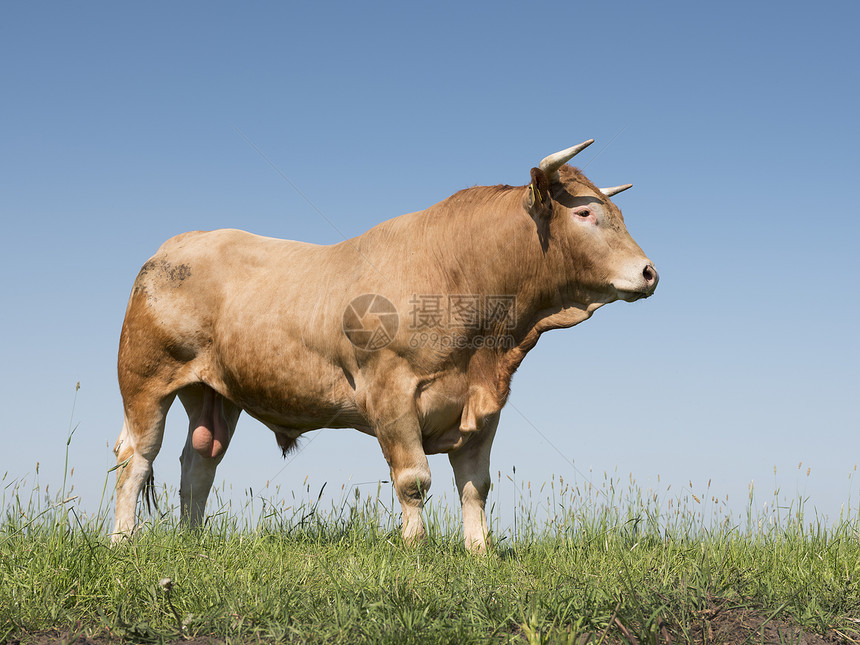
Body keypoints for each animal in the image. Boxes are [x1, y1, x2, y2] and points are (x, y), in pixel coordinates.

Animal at [109, 138, 660, 552]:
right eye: (585, 212)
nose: (649, 272)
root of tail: (177, 244)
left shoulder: (485, 406)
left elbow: (476, 486)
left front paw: (479, 554)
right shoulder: (392, 394)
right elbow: (414, 479)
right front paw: (416, 550)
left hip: (213, 392)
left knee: (200, 460)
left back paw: (192, 541)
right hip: (144, 380)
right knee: (136, 456)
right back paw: (122, 541)